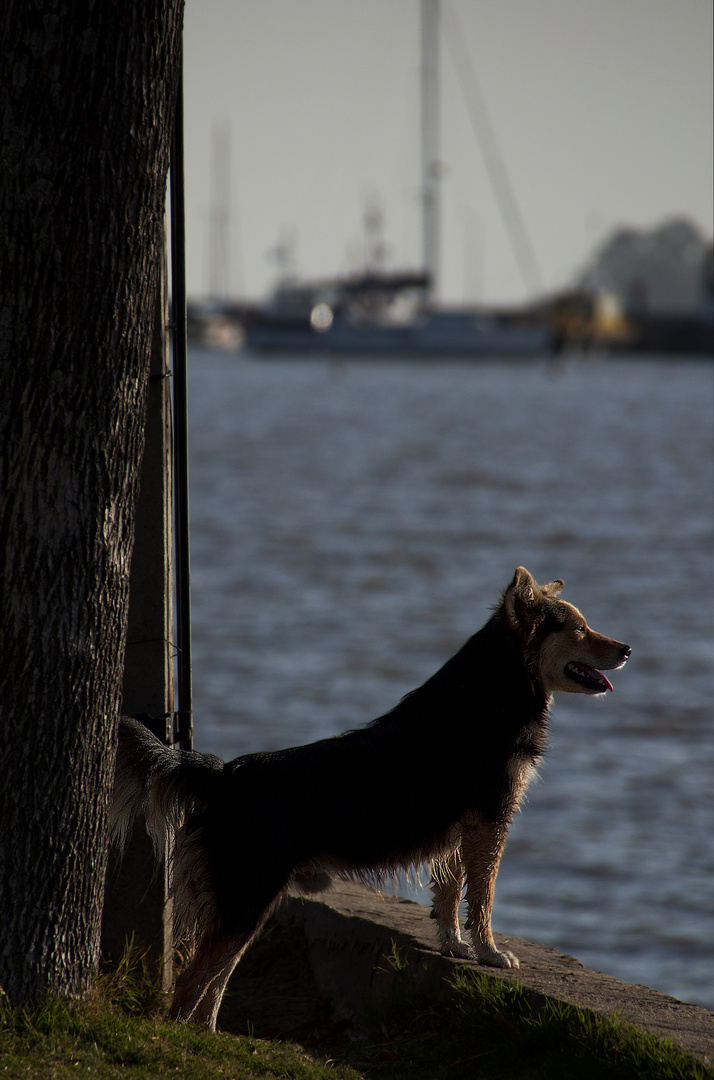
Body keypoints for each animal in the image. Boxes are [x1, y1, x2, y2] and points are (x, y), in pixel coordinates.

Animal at [111, 565, 630, 1028]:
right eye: (579, 629)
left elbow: (450, 889)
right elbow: (482, 893)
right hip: (246, 895)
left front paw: (455, 947)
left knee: (214, 980)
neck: (496, 687)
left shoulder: (461, 826)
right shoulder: (491, 817)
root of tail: (223, 775)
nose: (627, 649)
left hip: (247, 905)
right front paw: (489, 952)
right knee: (190, 985)